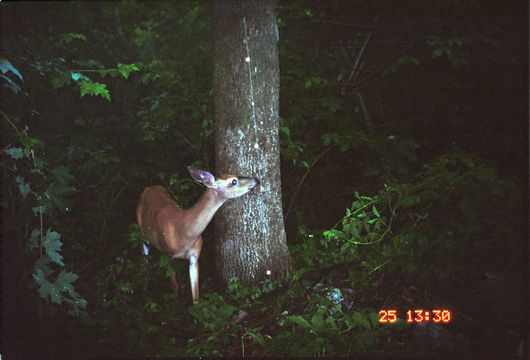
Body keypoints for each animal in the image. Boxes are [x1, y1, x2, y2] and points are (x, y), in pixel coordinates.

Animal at [135, 166, 258, 304]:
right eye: (234, 181)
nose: (257, 180)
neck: (184, 232)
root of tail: (149, 187)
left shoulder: (195, 257)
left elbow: (196, 297)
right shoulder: (169, 256)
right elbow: (175, 288)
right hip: (141, 231)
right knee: (144, 258)